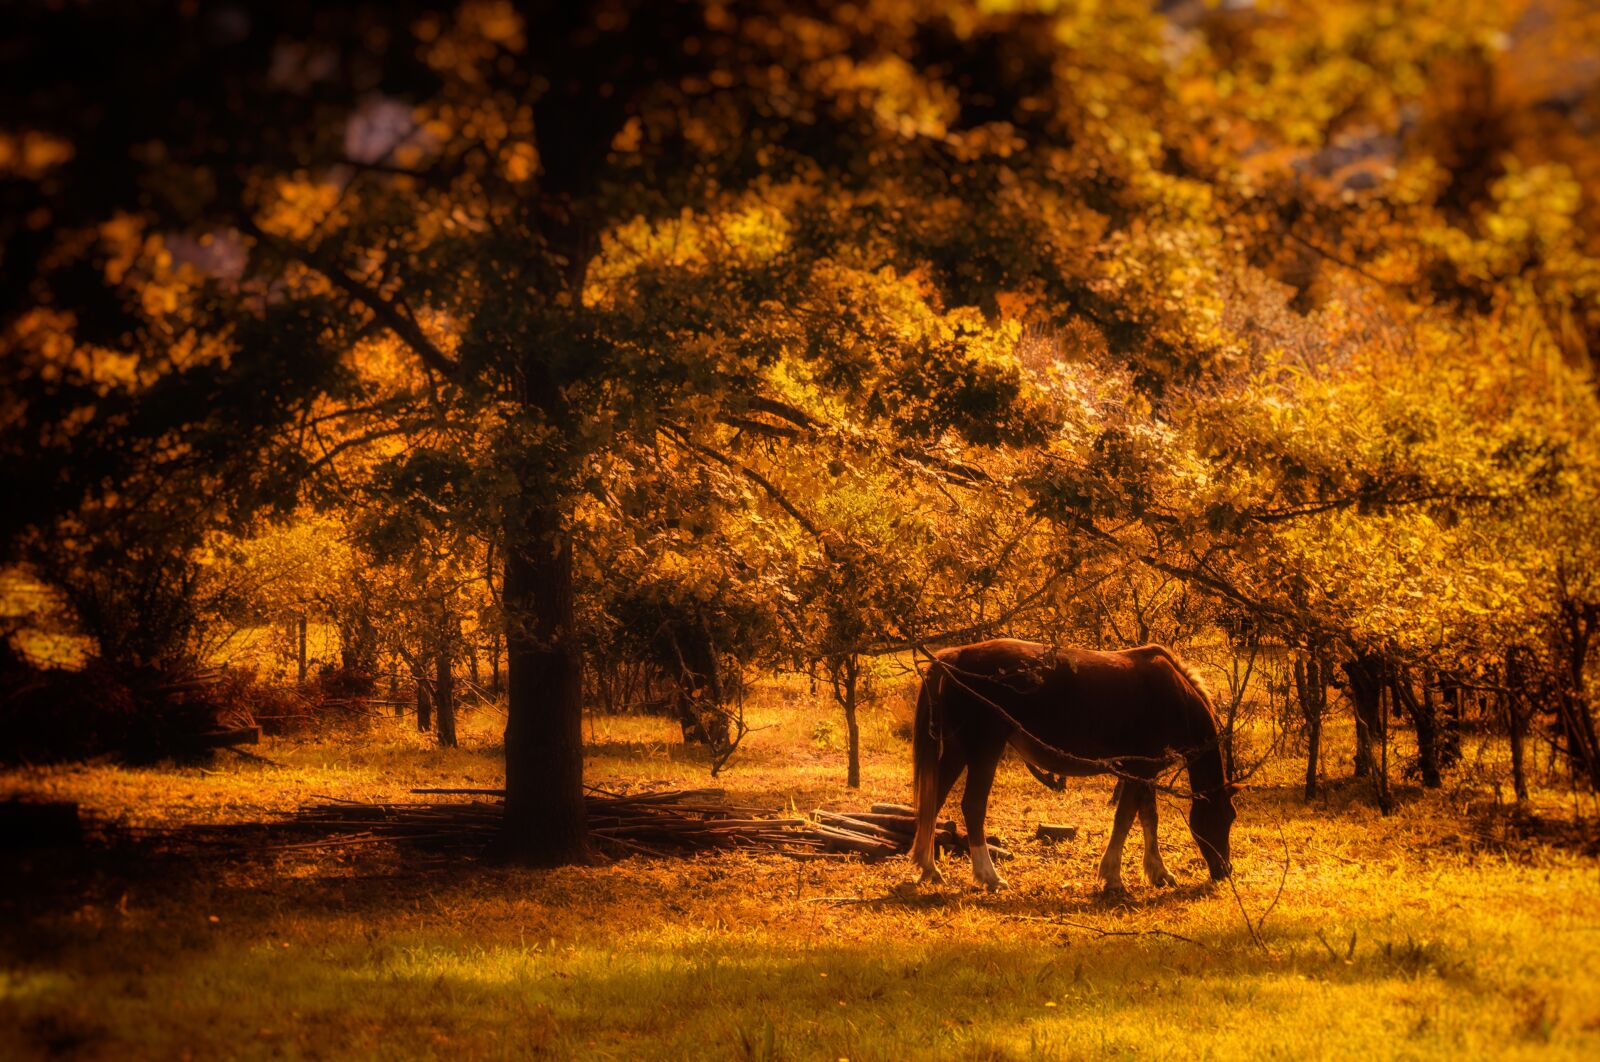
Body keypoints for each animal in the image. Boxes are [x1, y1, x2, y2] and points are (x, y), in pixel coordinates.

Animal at [909, 638, 1237, 891]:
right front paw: (1112, 877)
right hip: (984, 750)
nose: (1225, 871)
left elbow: (1147, 817)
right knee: (973, 806)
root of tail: (954, 658)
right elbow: (1125, 818)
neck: (1173, 694)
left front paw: (1158, 872)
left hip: (956, 750)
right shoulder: (1138, 770)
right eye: (1226, 817)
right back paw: (989, 877)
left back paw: (930, 869)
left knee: (934, 801)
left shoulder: (1145, 773)